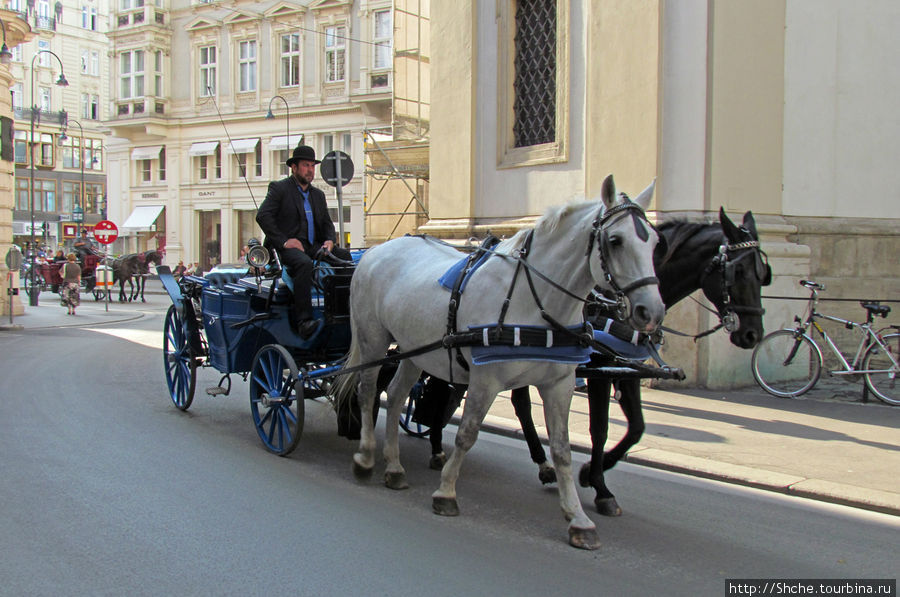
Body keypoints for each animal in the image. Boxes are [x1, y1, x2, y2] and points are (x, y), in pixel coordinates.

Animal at [334, 173, 664, 548]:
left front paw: (578, 517)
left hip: (413, 349)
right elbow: (467, 434)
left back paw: (393, 466)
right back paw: (365, 456)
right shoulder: (485, 380)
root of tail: (376, 250)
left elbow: (562, 450)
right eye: (615, 240)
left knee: (397, 395)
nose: (651, 312)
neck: (532, 301)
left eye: (655, 242)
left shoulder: (559, 384)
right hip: (373, 340)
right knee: (368, 393)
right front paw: (446, 491)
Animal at [418, 207, 768, 516]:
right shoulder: (599, 372)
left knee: (499, 398)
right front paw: (599, 485)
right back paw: (437, 446)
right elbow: (599, 429)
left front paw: (590, 471)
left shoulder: (624, 369)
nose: (753, 334)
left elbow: (637, 428)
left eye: (763, 275)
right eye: (737, 271)